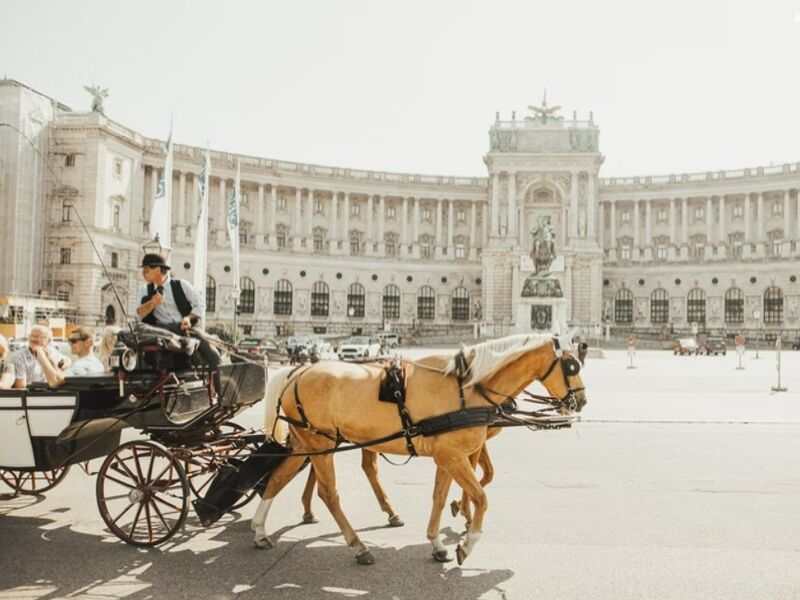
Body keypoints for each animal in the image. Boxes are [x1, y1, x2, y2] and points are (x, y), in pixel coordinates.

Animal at [253, 336, 584, 564]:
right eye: (572, 365)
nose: (581, 401)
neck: (467, 388)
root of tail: (297, 372)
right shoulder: (455, 455)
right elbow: (481, 495)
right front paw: (467, 541)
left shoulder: (448, 456)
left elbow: (440, 497)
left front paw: (438, 543)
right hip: (321, 443)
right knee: (329, 493)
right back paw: (359, 547)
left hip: (309, 442)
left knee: (278, 478)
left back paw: (260, 531)